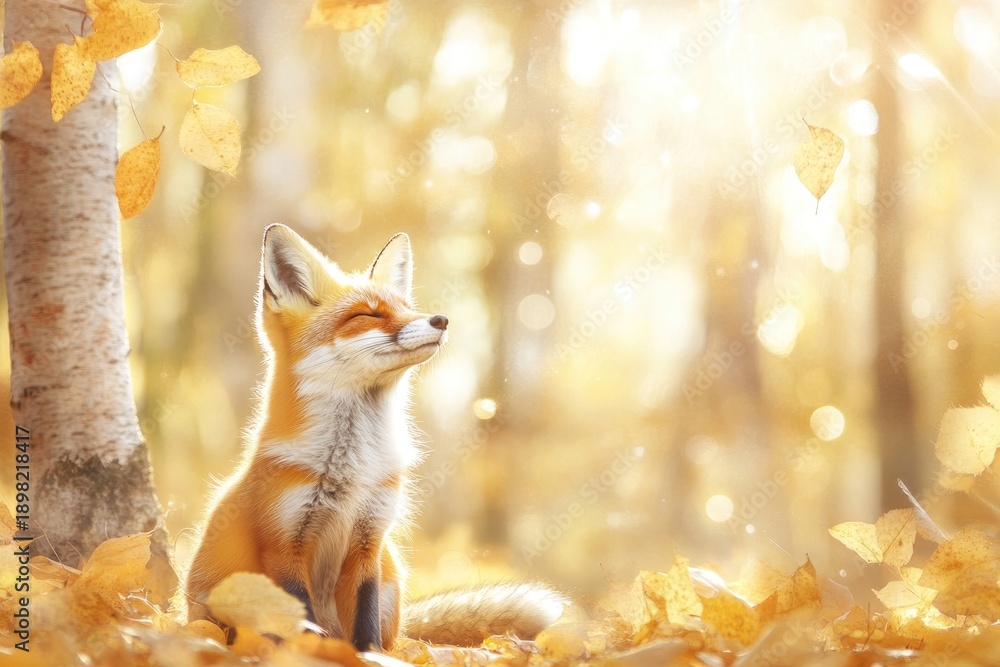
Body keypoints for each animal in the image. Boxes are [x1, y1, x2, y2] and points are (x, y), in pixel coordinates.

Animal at [182, 224, 565, 651]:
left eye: (408, 307)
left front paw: (369, 656)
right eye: (367, 314)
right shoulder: (283, 544)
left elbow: (364, 626)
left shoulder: (369, 541)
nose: (442, 319)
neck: (351, 468)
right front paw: (310, 654)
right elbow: (301, 620)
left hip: (390, 570)